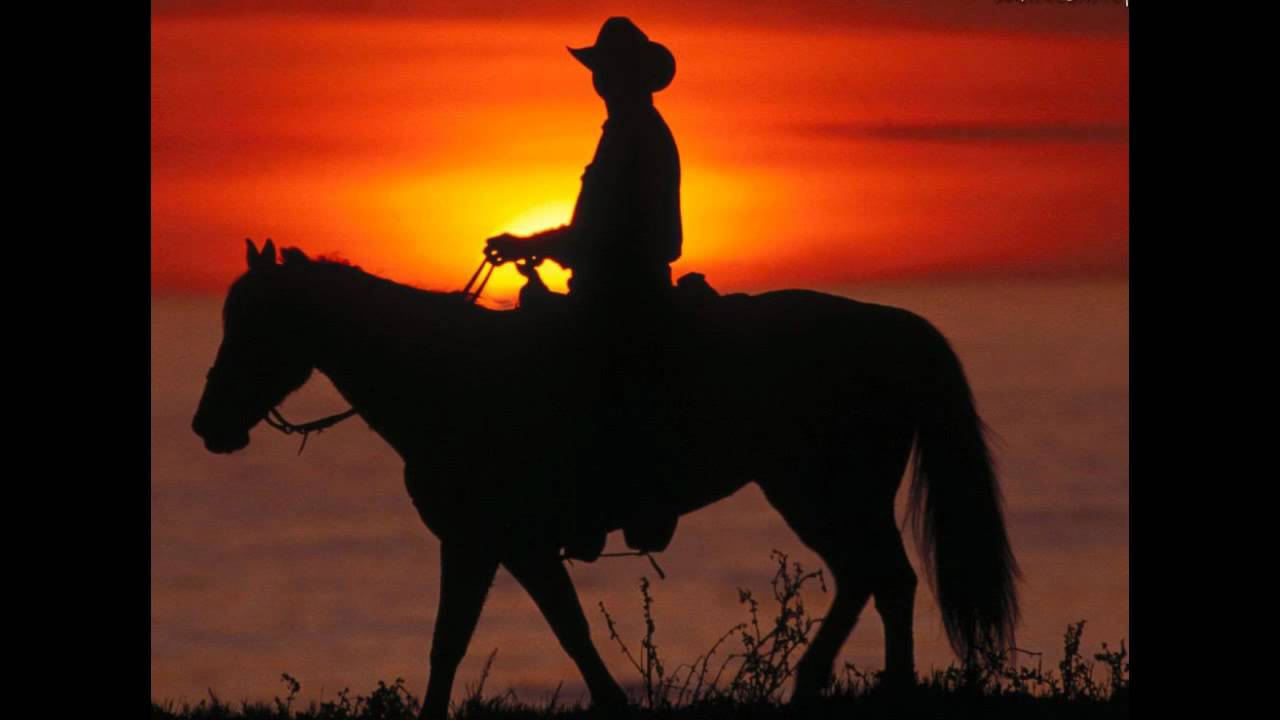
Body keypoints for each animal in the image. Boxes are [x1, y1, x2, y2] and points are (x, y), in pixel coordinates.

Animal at [192, 238, 1018, 712]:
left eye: (255, 324)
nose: (208, 425)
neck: (449, 376)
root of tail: (894, 326)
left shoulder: (508, 543)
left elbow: (560, 631)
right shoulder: (478, 544)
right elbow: (454, 642)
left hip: (824, 493)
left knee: (885, 579)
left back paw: (879, 689)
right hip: (819, 495)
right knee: (869, 580)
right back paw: (820, 684)